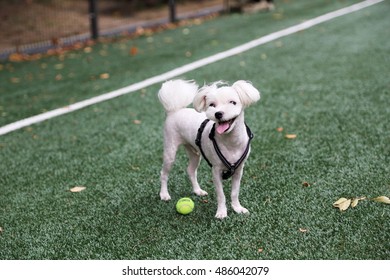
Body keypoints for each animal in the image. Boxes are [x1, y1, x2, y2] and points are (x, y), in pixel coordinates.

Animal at [157, 79, 260, 219]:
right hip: (170, 151)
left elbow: (234, 192)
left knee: (190, 170)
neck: (231, 142)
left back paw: (197, 191)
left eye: (233, 102)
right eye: (212, 105)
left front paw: (237, 208)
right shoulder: (216, 171)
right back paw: (164, 194)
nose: (218, 113)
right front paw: (221, 212)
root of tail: (174, 110)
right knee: (164, 173)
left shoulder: (239, 170)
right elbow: (221, 195)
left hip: (195, 153)